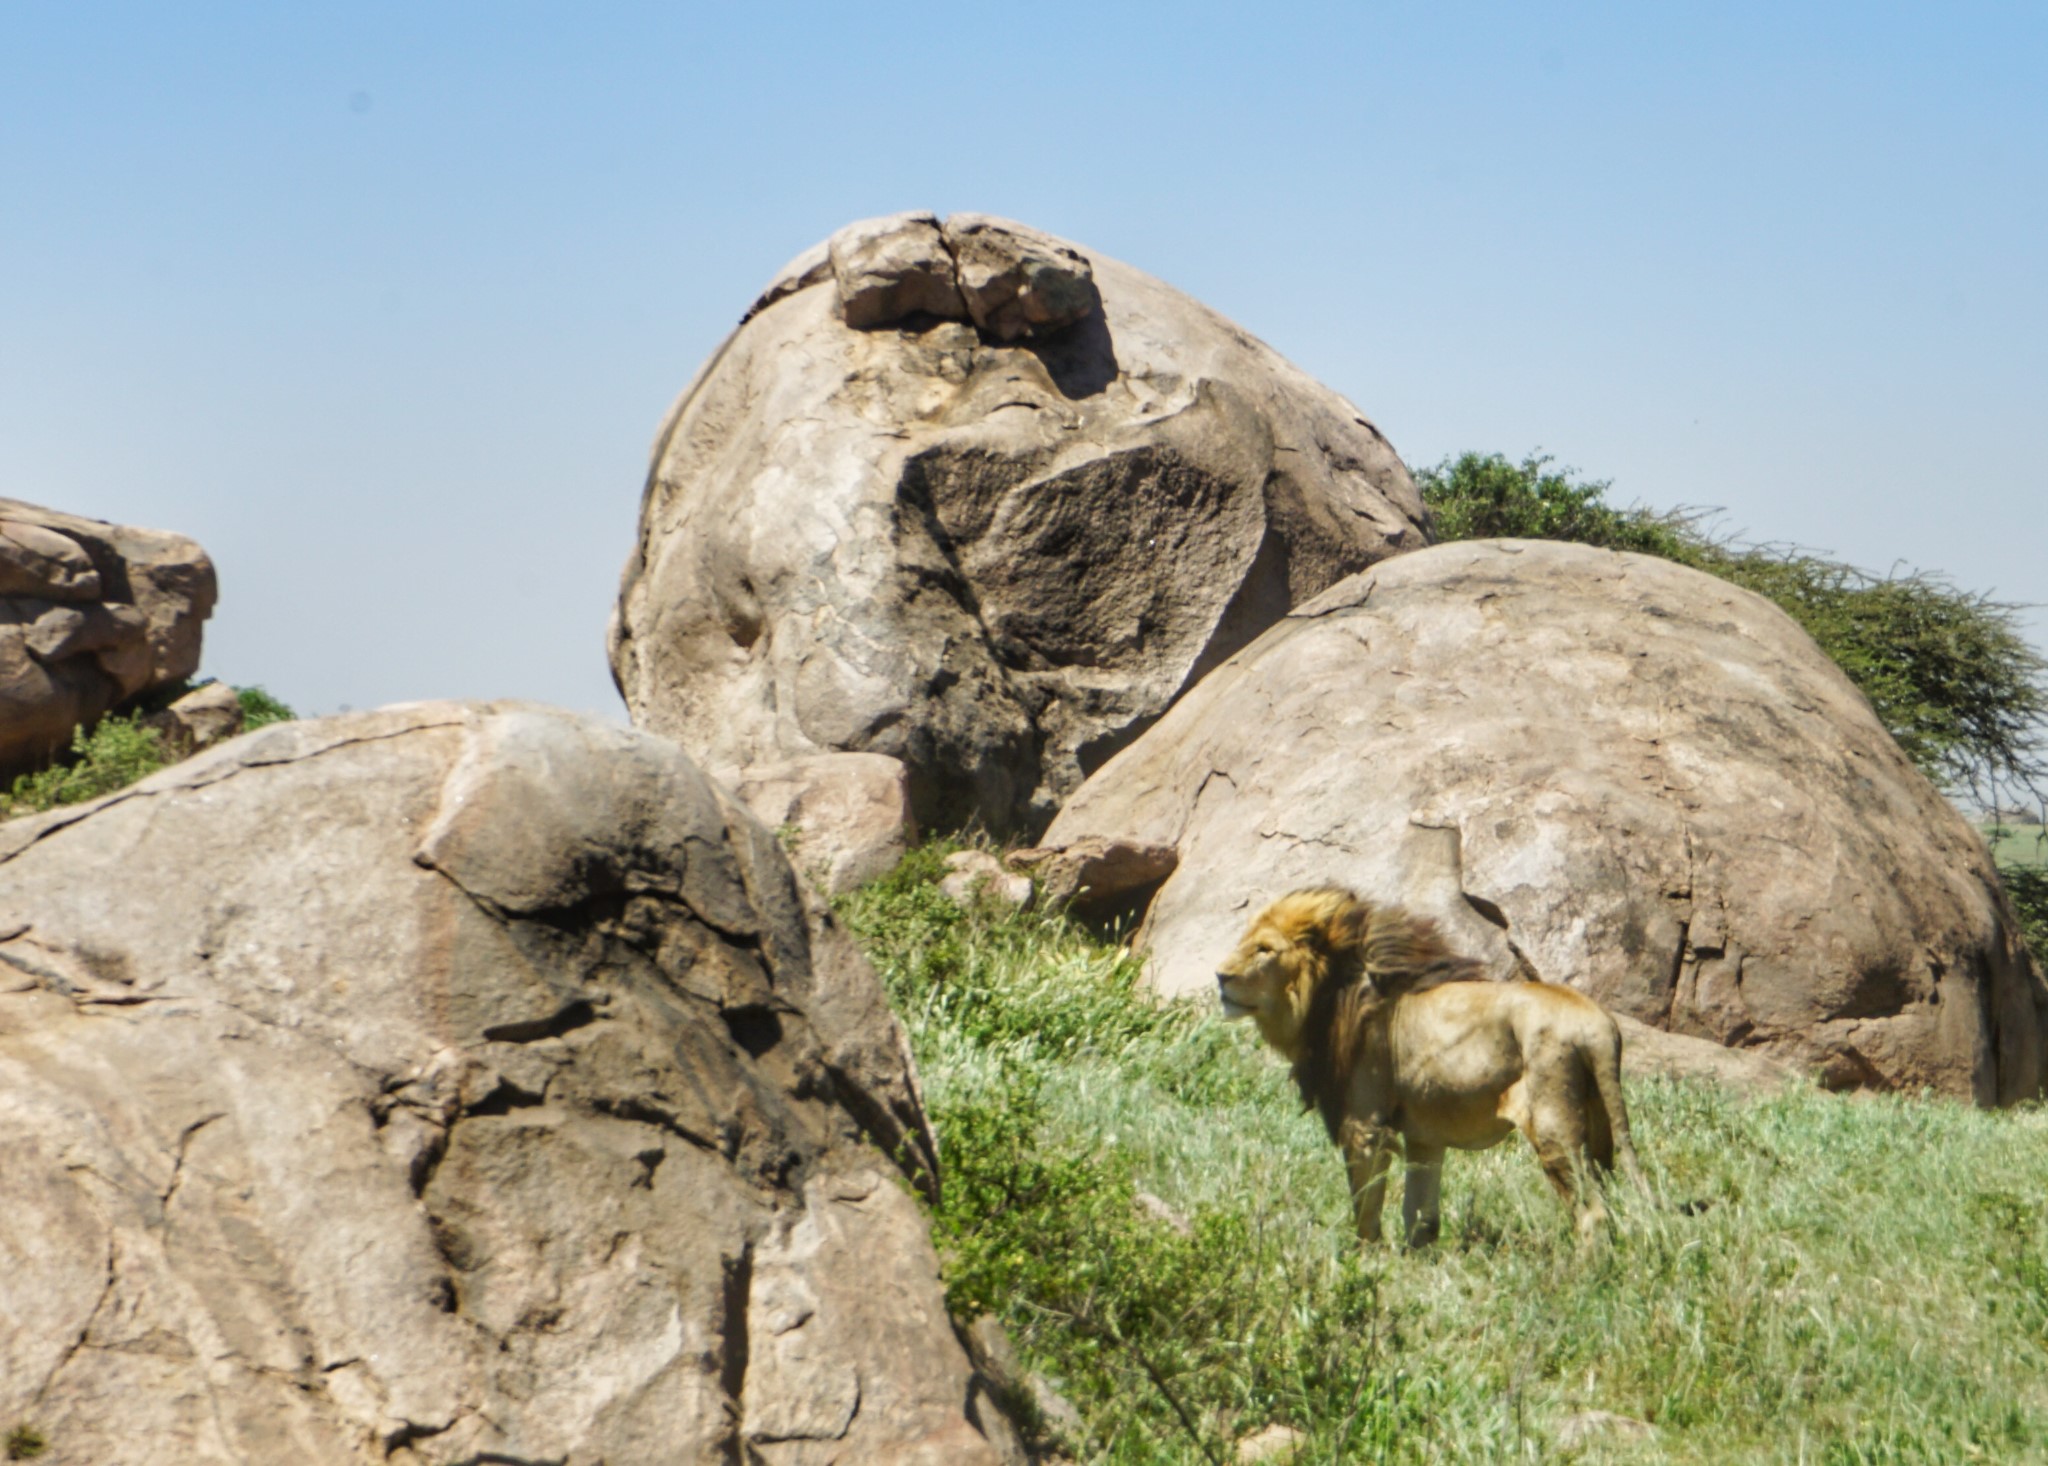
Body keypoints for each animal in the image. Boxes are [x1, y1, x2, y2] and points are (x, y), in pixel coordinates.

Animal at [1212, 888, 1646, 1244]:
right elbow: (1420, 1217)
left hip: (1552, 1124)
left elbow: (1365, 1211)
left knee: (1591, 1212)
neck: (1331, 997)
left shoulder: (1364, 1126)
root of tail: (1597, 1023)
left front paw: (1366, 1265)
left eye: (1264, 949)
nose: (1220, 976)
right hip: (1600, 1121)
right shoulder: (1425, 1137)